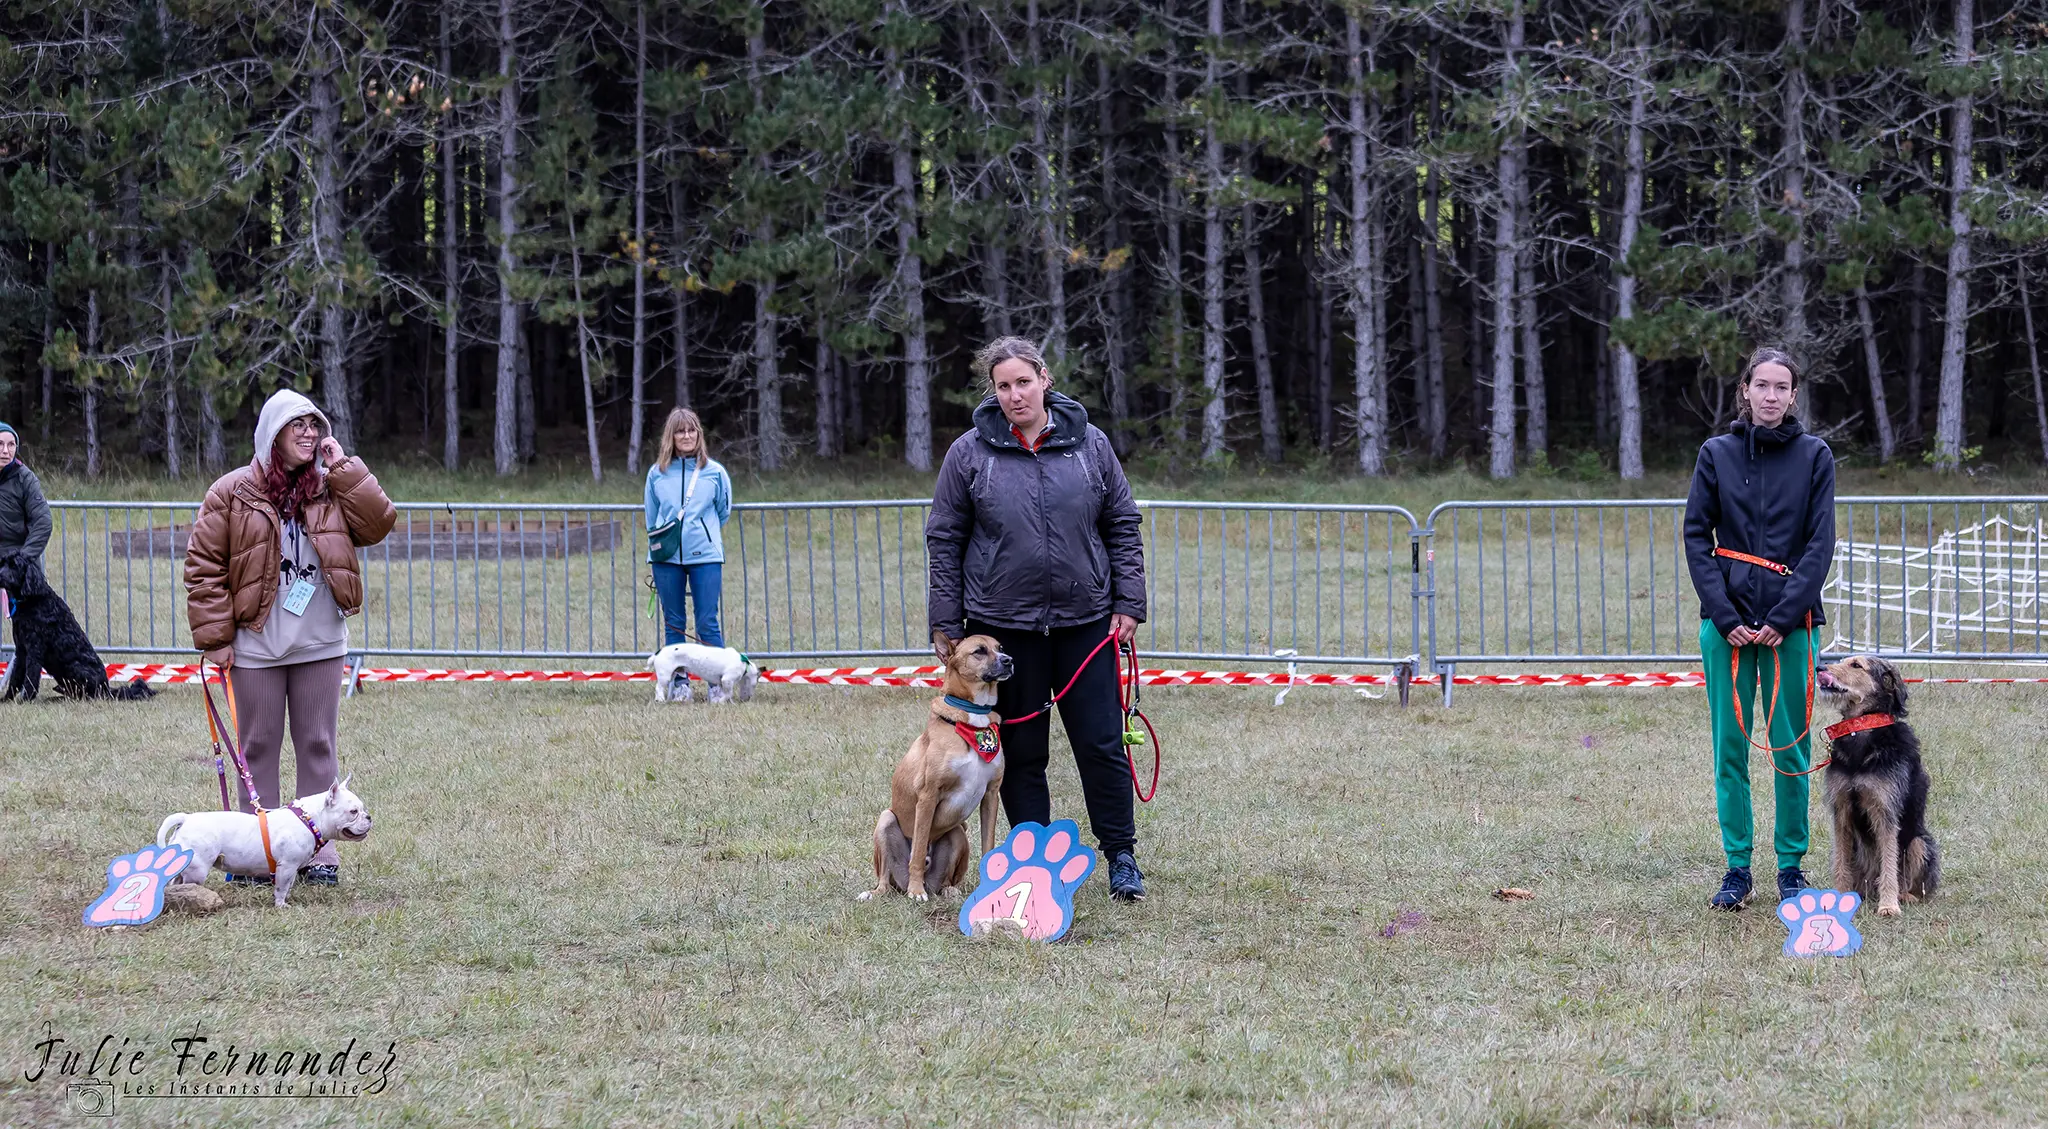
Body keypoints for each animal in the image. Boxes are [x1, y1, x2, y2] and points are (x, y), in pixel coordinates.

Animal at [1, 553, 153, 700]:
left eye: (14, 565)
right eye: (3, 563)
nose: (0, 574)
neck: (31, 600)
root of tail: (106, 689)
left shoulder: (34, 650)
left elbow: (30, 678)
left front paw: (26, 699)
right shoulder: (21, 650)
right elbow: (15, 678)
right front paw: (7, 698)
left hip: (75, 667)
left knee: (88, 695)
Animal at [155, 778, 376, 909]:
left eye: (362, 809)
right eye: (353, 812)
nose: (369, 817)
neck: (309, 819)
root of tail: (186, 819)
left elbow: (286, 886)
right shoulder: (286, 866)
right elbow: (282, 887)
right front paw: (281, 905)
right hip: (198, 869)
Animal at [851, 635, 1011, 901]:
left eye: (1000, 648)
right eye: (979, 651)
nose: (1009, 660)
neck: (971, 718)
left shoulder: (991, 794)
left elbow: (988, 846)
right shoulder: (927, 796)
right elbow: (916, 852)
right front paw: (916, 892)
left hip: (956, 832)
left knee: (945, 878)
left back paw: (948, 890)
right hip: (886, 820)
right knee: (885, 879)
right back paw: (879, 892)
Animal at [1818, 659, 1941, 913]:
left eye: (1856, 665)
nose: (1820, 668)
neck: (1861, 729)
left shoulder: (1885, 811)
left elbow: (1889, 865)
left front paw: (1889, 906)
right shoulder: (1841, 809)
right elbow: (1841, 864)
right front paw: (1838, 898)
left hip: (1920, 843)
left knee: (1912, 881)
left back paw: (1905, 896)